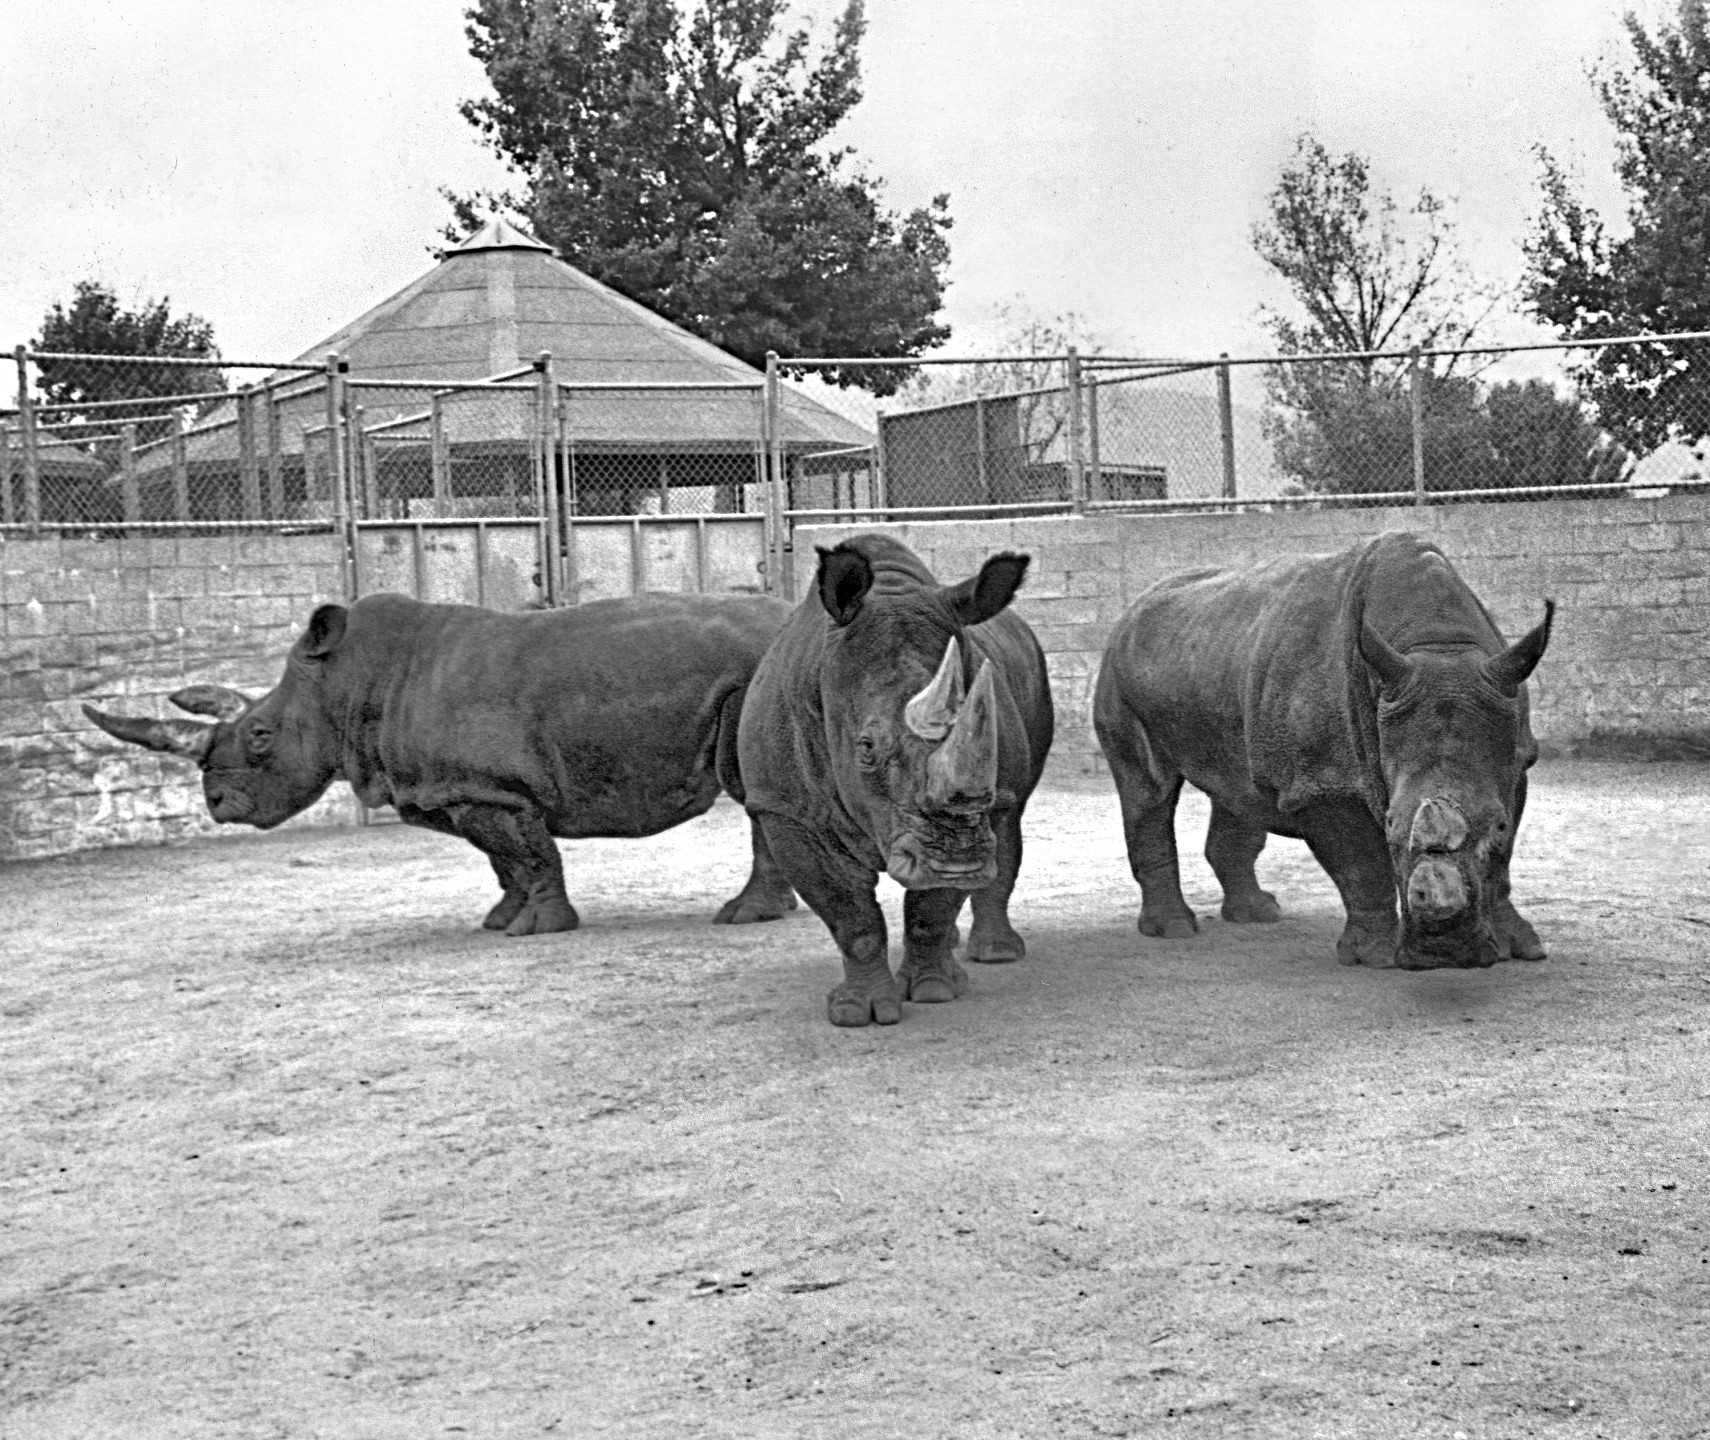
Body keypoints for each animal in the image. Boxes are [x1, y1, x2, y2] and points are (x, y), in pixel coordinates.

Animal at [84, 591, 798, 934]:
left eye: (260, 735)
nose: (216, 805)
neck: (343, 688)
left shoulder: (492, 788)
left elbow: (530, 856)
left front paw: (535, 930)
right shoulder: (459, 790)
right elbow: (505, 862)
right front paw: (501, 921)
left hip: (754, 676)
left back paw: (739, 917)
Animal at [738, 534, 1054, 1026]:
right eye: (866, 747)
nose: (958, 862)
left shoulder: (972, 810)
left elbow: (932, 907)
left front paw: (934, 991)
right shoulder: (785, 809)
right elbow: (850, 917)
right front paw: (857, 1013)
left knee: (1008, 819)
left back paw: (994, 954)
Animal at [1093, 532, 1553, 969]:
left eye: (1497, 824)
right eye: (1389, 824)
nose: (1444, 957)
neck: (1439, 645)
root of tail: (1131, 609)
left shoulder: (1516, 758)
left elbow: (1503, 860)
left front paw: (1521, 946)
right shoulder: (1326, 782)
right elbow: (1361, 865)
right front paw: (1377, 958)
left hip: (1216, 658)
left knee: (1239, 787)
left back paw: (1259, 914)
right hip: (1118, 669)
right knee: (1148, 789)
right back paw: (1175, 929)